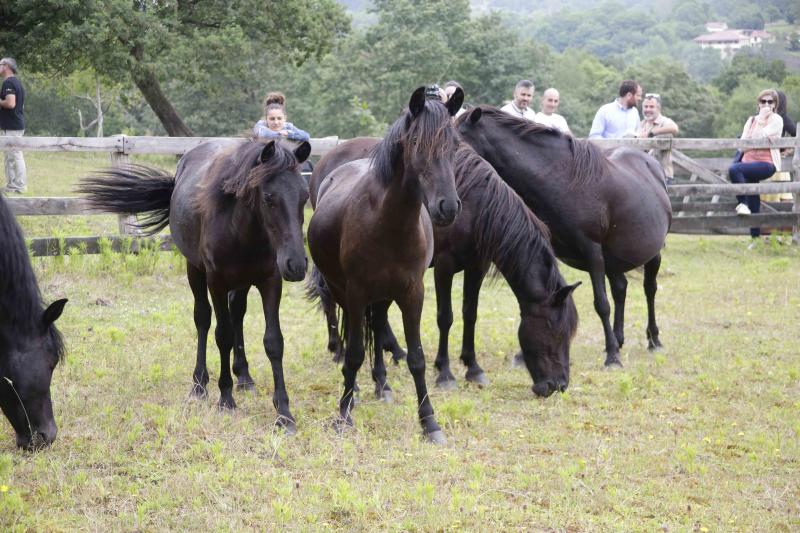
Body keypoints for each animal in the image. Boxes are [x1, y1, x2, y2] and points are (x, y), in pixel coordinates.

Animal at [78, 138, 310, 432]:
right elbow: (222, 335)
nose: (297, 264)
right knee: (203, 318)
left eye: (304, 196)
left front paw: (284, 413)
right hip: (195, 271)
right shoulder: (217, 282)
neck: (239, 227)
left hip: (243, 281)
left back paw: (244, 376)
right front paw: (225, 398)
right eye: (269, 197)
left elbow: (273, 341)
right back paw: (200, 384)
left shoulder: (270, 281)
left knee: (237, 313)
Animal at [310, 87, 466, 442]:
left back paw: (382, 384)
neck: (388, 222)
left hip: (383, 296)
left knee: (378, 326)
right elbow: (355, 353)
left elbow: (417, 358)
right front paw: (343, 413)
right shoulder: (355, 292)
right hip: (344, 291)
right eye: (416, 142)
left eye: (455, 145)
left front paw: (429, 422)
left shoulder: (412, 292)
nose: (448, 207)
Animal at [456, 107, 668, 366]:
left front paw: (612, 357)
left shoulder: (592, 251)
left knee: (649, 289)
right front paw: (523, 355)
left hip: (652, 254)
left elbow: (601, 303)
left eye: (457, 134)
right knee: (621, 289)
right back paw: (619, 339)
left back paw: (653, 339)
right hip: (614, 259)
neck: (564, 180)